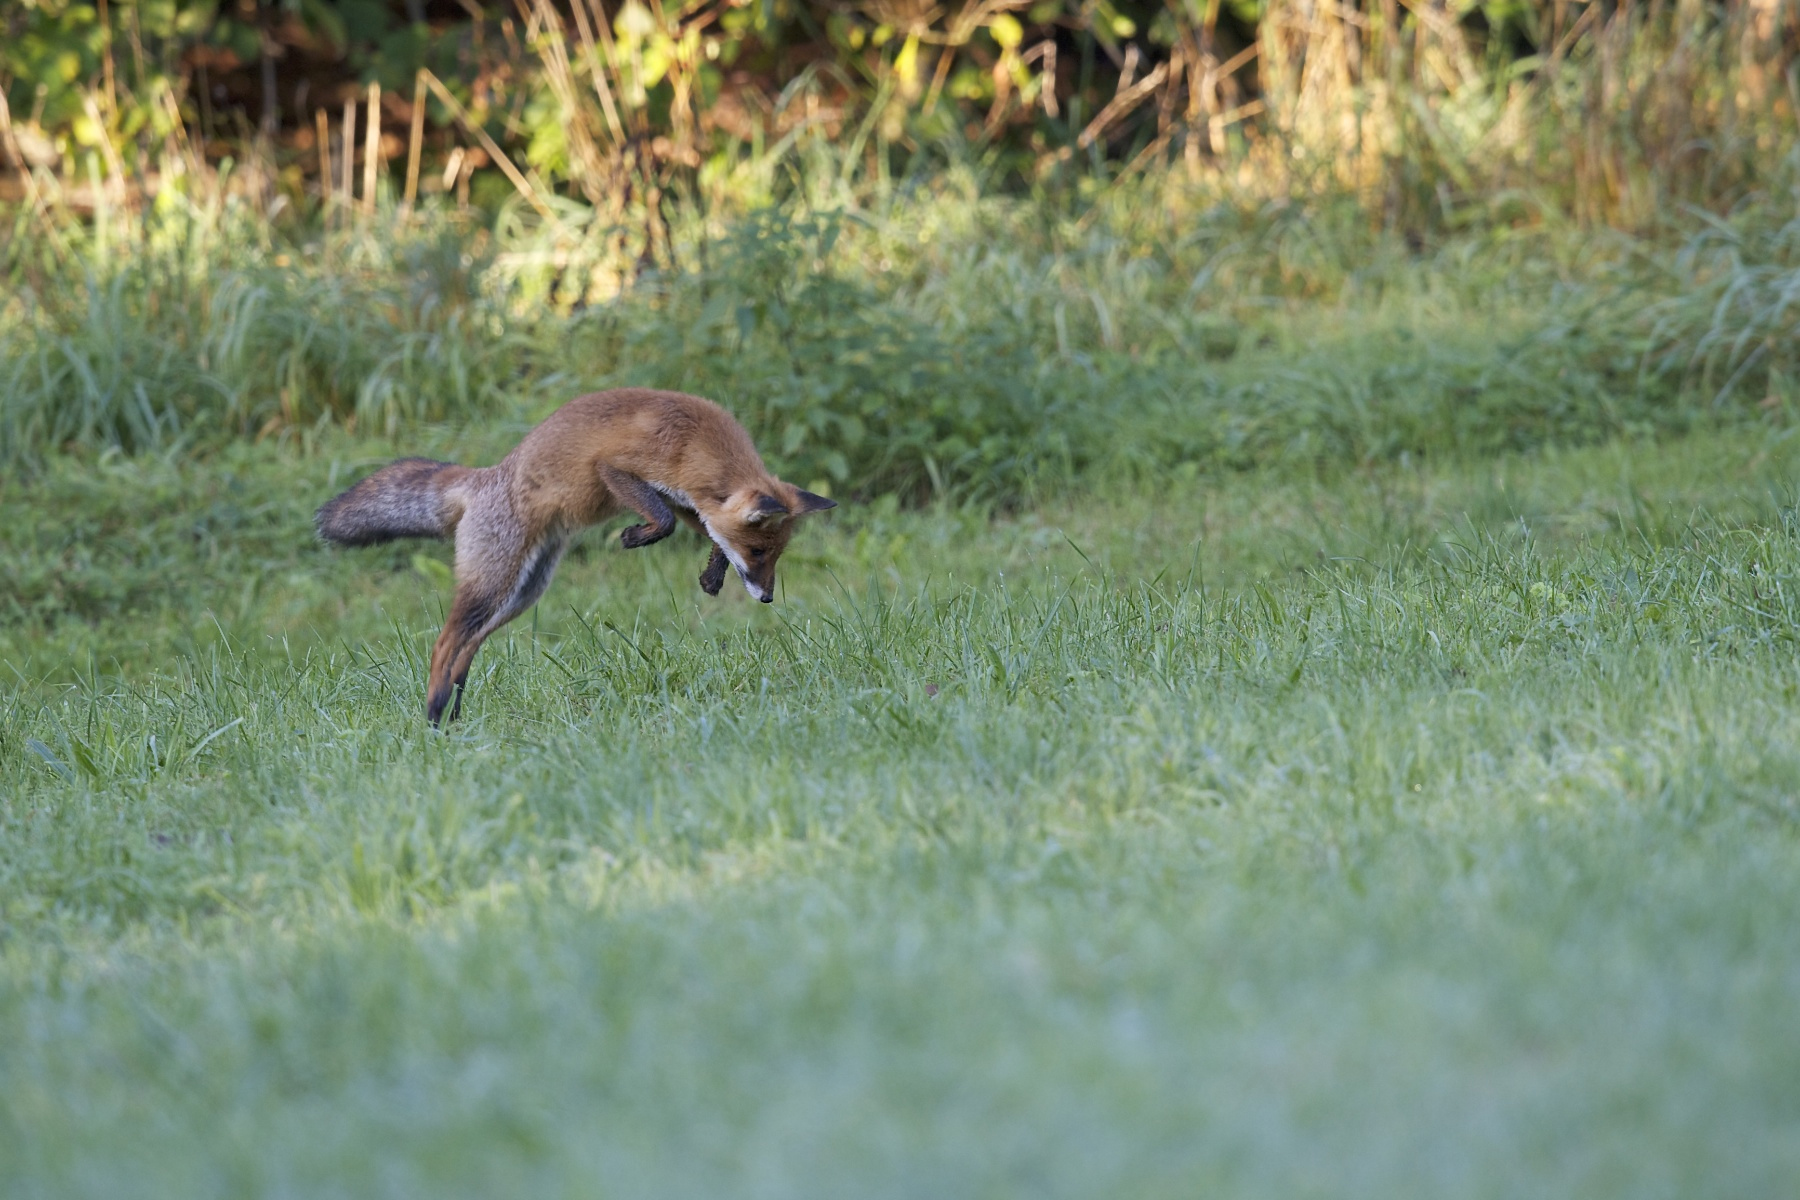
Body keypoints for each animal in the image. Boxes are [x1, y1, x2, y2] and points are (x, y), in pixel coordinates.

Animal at [315, 386, 835, 723]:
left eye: (775, 556)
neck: (696, 444)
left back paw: (453, 711)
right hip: (494, 585)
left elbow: (706, 530)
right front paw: (635, 537)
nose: (767, 598)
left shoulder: (688, 500)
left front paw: (711, 577)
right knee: (444, 643)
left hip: (523, 593)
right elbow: (663, 521)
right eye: (758, 550)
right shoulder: (618, 469)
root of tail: (487, 476)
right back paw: (433, 711)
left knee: (469, 645)